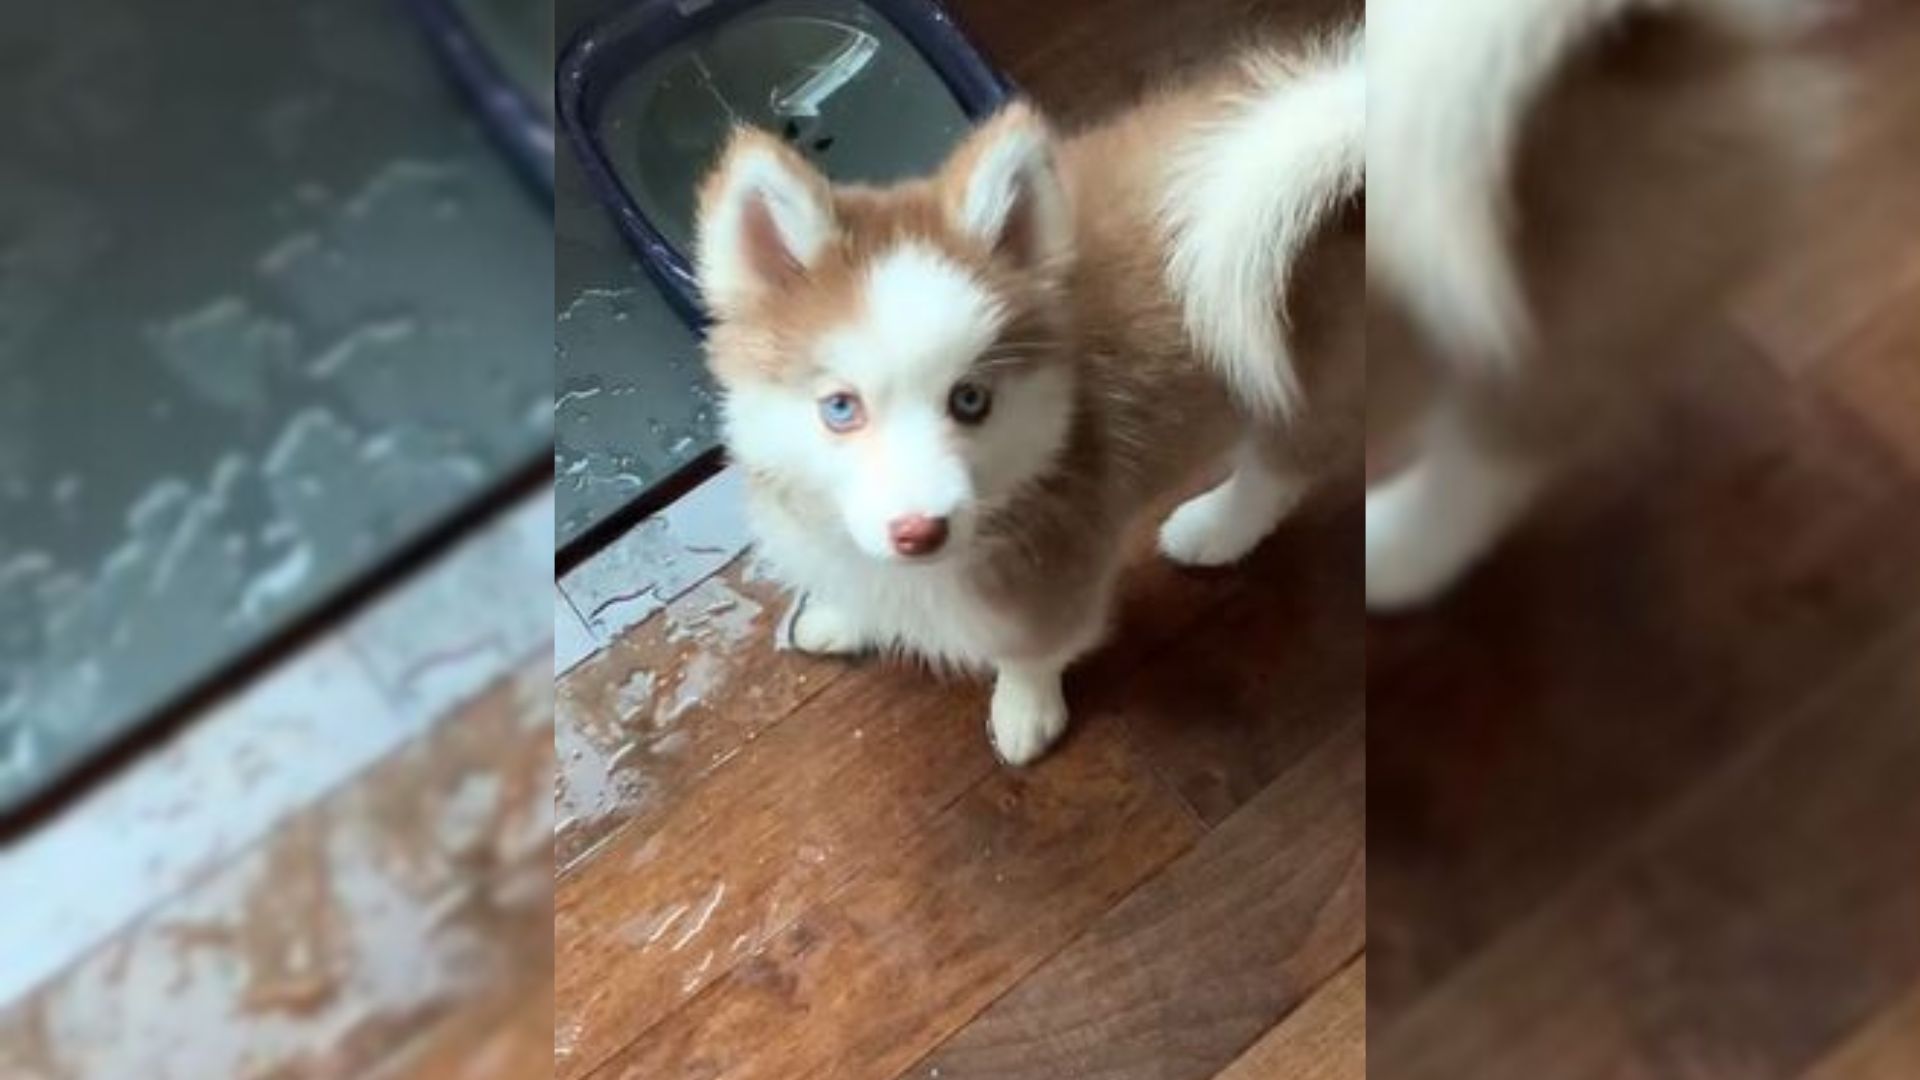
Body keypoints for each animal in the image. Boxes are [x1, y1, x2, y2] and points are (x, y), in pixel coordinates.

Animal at [691, 29, 1367, 760]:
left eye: (970, 400)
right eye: (840, 408)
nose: (920, 532)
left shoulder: (1056, 571)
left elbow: (1030, 653)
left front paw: (1023, 713)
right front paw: (848, 616)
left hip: (1301, 378)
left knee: (1283, 466)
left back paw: (1213, 528)